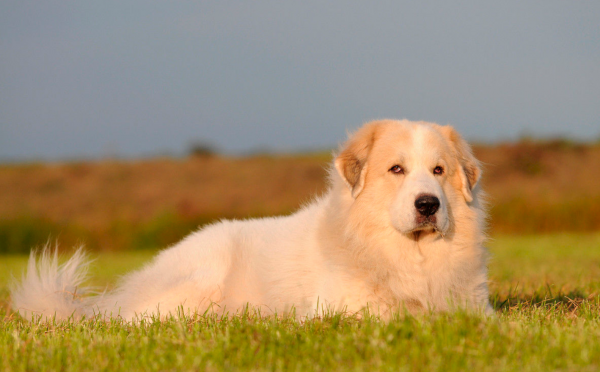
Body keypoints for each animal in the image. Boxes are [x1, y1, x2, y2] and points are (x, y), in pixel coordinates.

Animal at [10, 119, 492, 320]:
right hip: (200, 282)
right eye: (396, 170)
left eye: (438, 171)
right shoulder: (346, 310)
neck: (409, 256)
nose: (428, 205)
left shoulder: (474, 307)